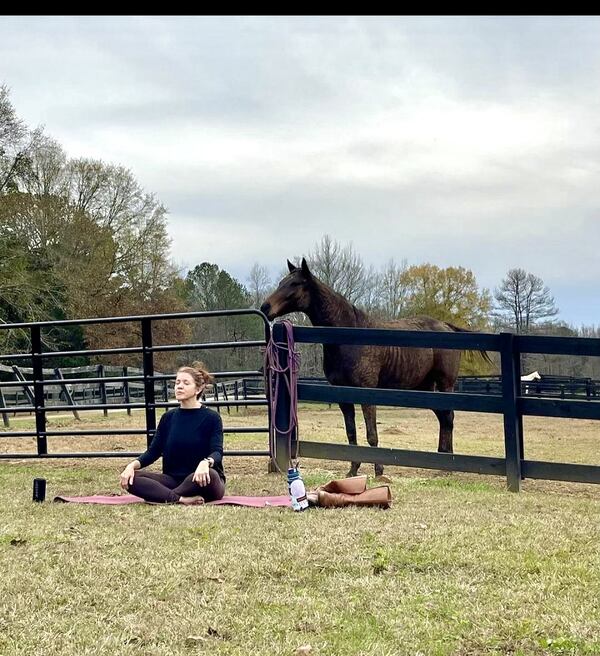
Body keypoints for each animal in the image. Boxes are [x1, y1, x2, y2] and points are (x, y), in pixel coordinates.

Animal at [262, 258, 482, 480]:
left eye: (295, 284)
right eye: (282, 282)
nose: (265, 307)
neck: (349, 336)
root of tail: (446, 326)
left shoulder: (367, 393)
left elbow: (372, 435)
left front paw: (379, 471)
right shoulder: (343, 396)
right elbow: (351, 433)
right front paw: (353, 469)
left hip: (445, 384)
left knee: (448, 418)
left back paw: (449, 464)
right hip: (427, 388)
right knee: (443, 418)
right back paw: (442, 459)